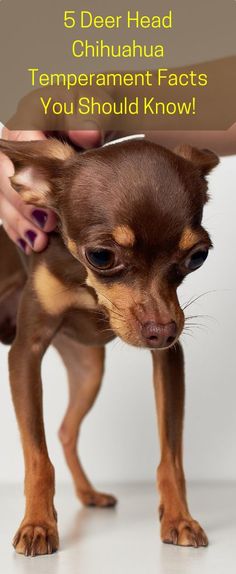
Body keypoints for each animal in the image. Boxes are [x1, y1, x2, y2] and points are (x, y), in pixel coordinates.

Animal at [0, 136, 219, 560]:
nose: (162, 331)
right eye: (101, 255)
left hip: (89, 371)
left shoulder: (169, 358)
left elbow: (172, 457)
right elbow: (36, 457)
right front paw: (37, 524)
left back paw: (88, 494)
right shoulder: (25, 353)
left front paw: (179, 518)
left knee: (67, 430)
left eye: (197, 257)